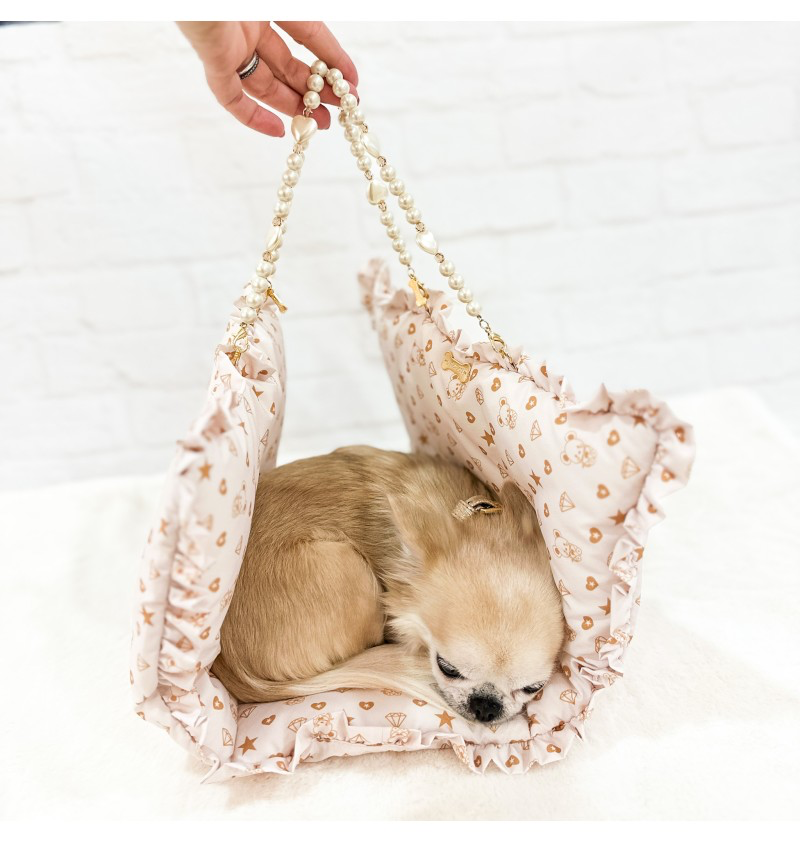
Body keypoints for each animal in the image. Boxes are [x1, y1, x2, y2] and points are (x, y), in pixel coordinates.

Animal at [211, 445, 566, 725]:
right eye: (447, 668)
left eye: (533, 688)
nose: (486, 706)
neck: (463, 516)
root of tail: (231, 665)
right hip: (348, 566)